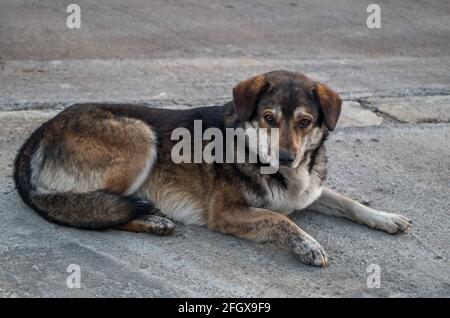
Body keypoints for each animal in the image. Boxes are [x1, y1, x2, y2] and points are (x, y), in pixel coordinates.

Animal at [13, 71, 412, 268]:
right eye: (269, 118)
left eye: (305, 122)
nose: (285, 158)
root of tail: (38, 132)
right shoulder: (226, 213)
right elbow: (280, 219)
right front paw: (308, 244)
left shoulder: (309, 191)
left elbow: (348, 202)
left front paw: (386, 218)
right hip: (140, 136)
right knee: (89, 208)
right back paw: (151, 219)